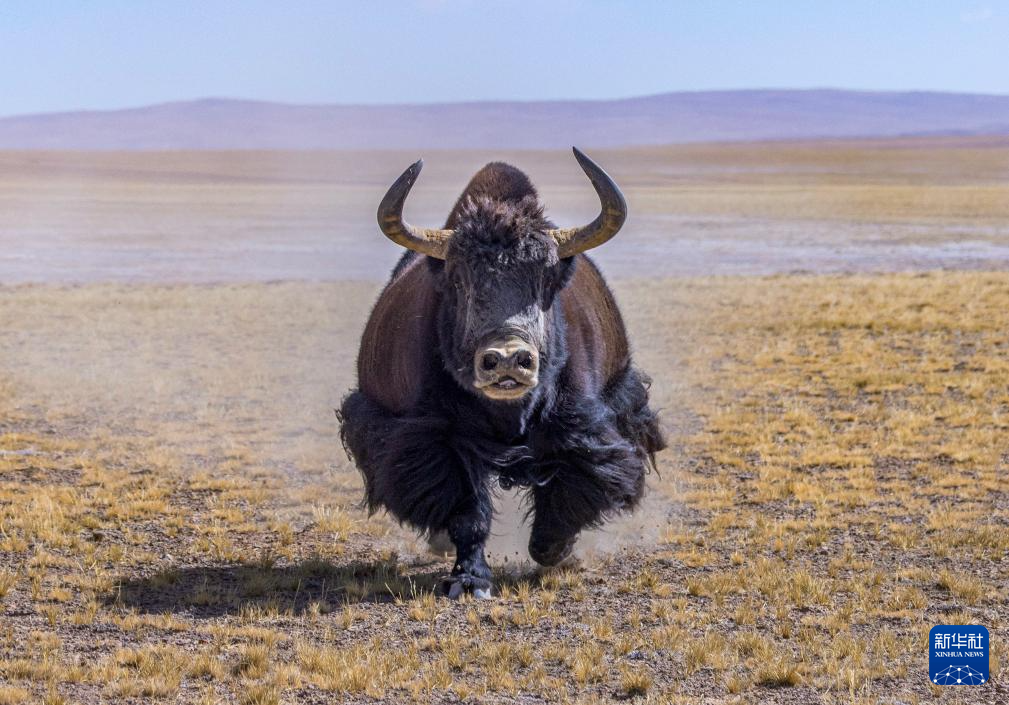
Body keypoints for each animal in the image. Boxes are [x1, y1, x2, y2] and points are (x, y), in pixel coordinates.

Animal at [338, 148, 665, 598]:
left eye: (546, 280)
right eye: (459, 282)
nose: (508, 358)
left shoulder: (584, 429)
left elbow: (569, 489)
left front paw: (555, 551)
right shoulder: (436, 438)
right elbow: (466, 511)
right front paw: (469, 580)